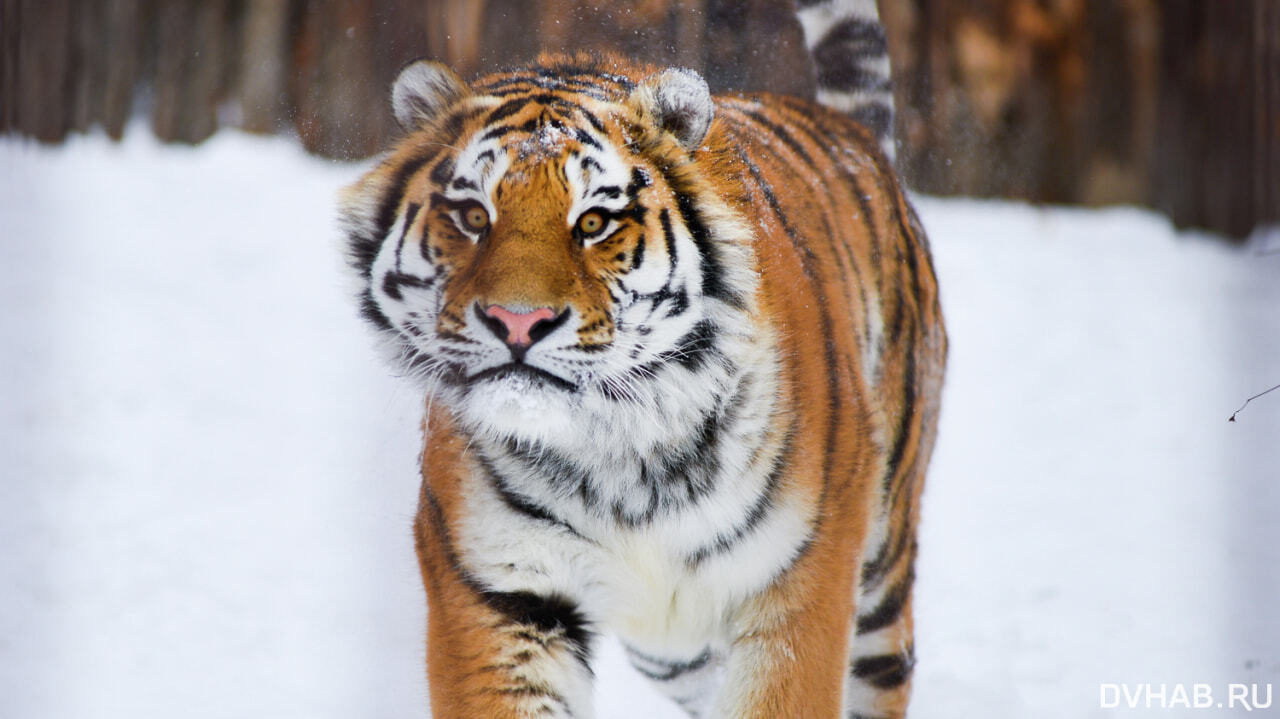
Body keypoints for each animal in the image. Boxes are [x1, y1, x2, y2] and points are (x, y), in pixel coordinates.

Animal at [335, 0, 947, 711]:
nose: (518, 322)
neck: (621, 449)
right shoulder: (499, 589)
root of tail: (852, 133)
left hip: (881, 575)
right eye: (472, 216)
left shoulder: (801, 579)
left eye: (594, 223)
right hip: (674, 653)